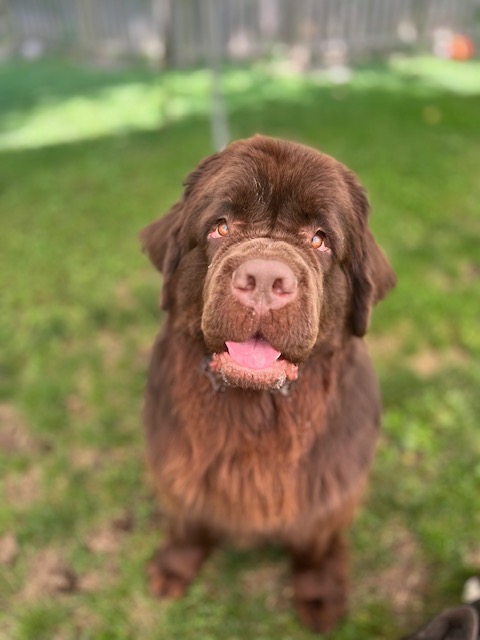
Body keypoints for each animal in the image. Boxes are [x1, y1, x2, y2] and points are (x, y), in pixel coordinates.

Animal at [139, 132, 394, 632]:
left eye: (319, 240)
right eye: (220, 228)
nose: (263, 277)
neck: (255, 418)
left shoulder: (326, 493)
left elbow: (313, 546)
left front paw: (319, 597)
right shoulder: (178, 468)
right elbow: (187, 520)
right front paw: (173, 569)